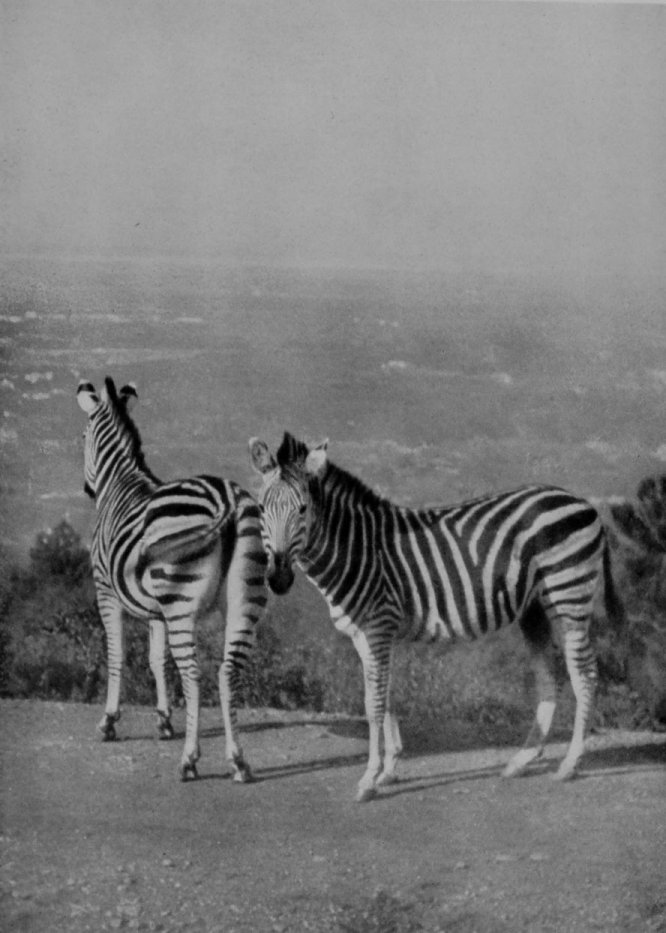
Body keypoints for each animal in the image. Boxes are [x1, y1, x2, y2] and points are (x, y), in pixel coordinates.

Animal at [77, 376, 267, 781]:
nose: (87, 489)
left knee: (193, 673)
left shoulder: (105, 590)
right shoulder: (156, 609)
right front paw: (164, 720)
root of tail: (227, 499)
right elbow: (156, 659)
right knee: (228, 671)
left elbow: (117, 654)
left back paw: (190, 760)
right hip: (245, 599)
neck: (120, 482)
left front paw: (109, 721)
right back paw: (238, 760)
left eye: (83, 435)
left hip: (181, 602)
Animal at [249, 432, 621, 802]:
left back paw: (570, 765)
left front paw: (369, 778)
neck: (358, 549)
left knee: (585, 674)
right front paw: (389, 769)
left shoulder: (378, 627)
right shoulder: (366, 635)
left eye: (302, 509)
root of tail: (581, 501)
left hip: (569, 595)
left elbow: (373, 704)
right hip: (535, 608)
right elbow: (386, 695)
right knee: (549, 675)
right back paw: (523, 759)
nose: (278, 578)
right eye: (261, 509)